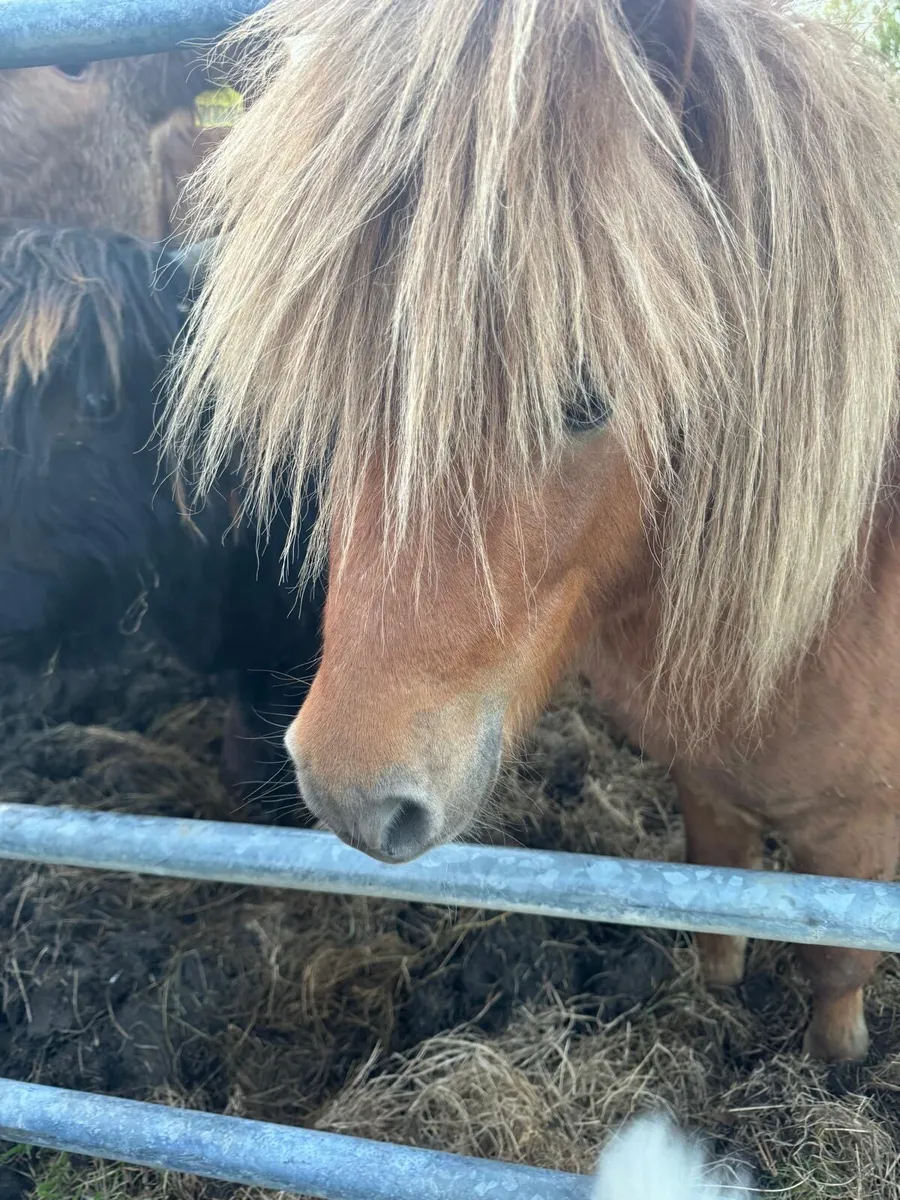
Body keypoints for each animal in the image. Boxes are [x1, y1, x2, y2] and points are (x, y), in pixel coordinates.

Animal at [165, 0, 900, 1063]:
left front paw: (836, 1066)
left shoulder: (856, 837)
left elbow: (837, 967)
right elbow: (717, 914)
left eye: (587, 398)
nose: (350, 792)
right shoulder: (708, 788)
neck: (835, 589)